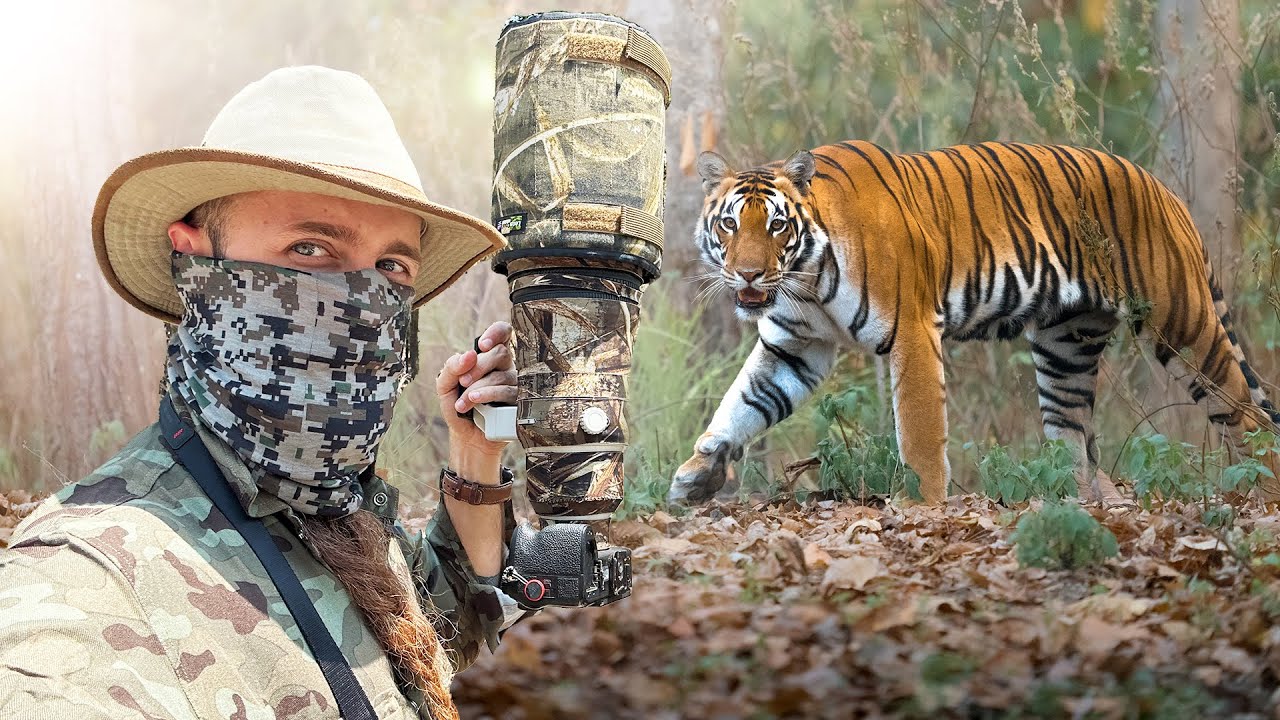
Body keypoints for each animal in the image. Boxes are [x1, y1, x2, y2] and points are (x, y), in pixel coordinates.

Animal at [665, 141, 1280, 507]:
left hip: (1180, 323)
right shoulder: (794, 346)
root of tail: (1163, 190)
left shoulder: (912, 332)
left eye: (775, 226)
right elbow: (743, 403)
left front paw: (922, 507)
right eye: (729, 225)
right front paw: (698, 473)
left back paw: (1259, 491)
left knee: (1245, 412)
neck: (807, 279)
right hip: (1066, 347)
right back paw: (1078, 501)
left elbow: (918, 431)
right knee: (1073, 436)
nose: (748, 273)